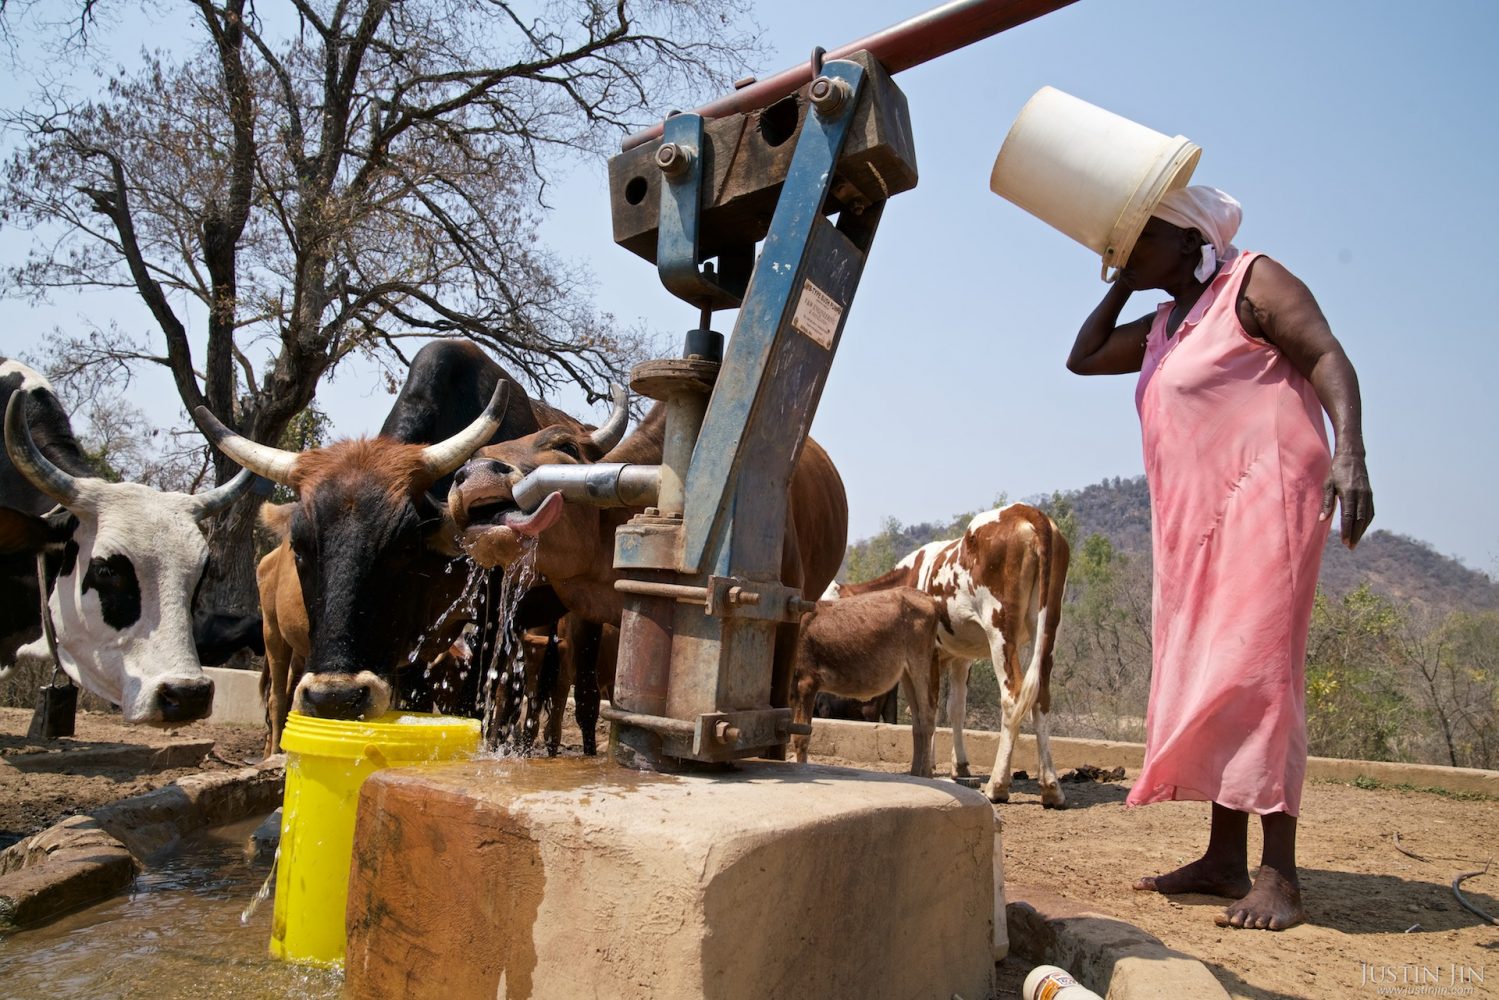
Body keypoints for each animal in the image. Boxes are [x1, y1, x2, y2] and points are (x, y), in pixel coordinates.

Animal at [785, 590, 935, 779]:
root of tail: (926, 596)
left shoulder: (807, 682)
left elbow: (801, 736)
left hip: (920, 662)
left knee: (928, 716)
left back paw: (926, 775)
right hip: (906, 672)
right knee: (917, 721)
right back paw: (915, 773)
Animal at [839, 509, 1073, 803]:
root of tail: (1026, 512)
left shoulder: (926, 657)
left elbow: (926, 708)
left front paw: (926, 767)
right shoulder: (962, 657)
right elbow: (955, 708)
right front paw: (959, 765)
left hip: (1000, 627)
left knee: (1012, 697)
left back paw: (998, 785)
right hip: (1049, 624)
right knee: (1041, 696)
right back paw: (1051, 787)